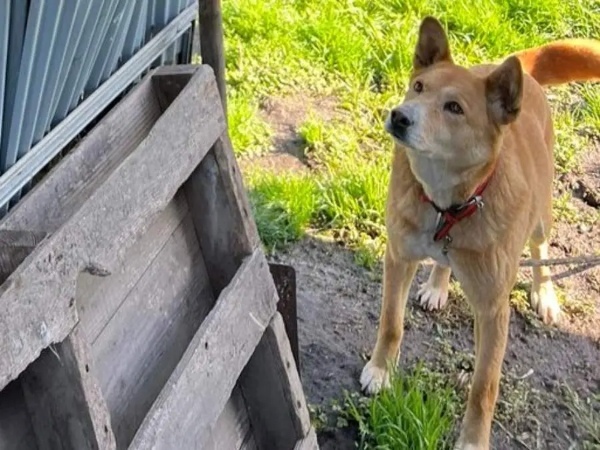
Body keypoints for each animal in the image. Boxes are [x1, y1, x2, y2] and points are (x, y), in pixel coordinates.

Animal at [360, 17, 600, 450]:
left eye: (454, 108)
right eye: (418, 87)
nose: (399, 116)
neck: (447, 206)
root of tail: (516, 70)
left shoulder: (492, 310)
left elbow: (483, 386)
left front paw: (473, 440)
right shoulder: (398, 258)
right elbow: (391, 323)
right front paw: (380, 370)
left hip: (541, 213)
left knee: (540, 249)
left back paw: (544, 294)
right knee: (444, 264)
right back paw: (437, 284)